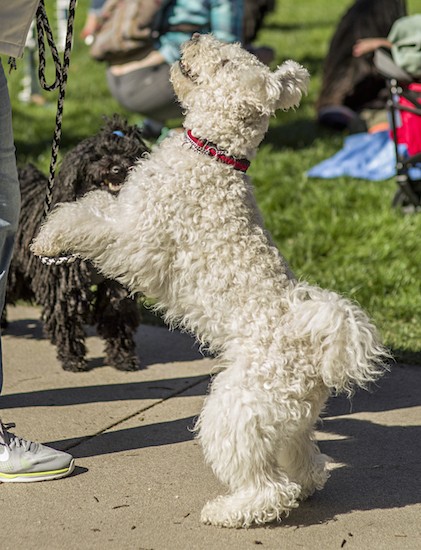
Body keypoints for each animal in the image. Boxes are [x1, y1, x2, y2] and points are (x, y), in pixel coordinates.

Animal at [5, 116, 149, 376]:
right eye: (99, 156)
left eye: (129, 154)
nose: (117, 168)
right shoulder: (62, 284)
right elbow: (66, 318)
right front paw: (72, 358)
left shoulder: (116, 286)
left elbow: (117, 316)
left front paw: (123, 358)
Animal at [32, 34, 386, 532]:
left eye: (223, 62)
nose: (195, 36)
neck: (214, 154)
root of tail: (314, 351)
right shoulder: (129, 219)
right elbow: (94, 204)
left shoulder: (136, 237)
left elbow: (88, 217)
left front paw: (49, 237)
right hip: (288, 420)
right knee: (304, 462)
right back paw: (306, 483)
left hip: (234, 409)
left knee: (268, 487)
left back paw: (230, 511)